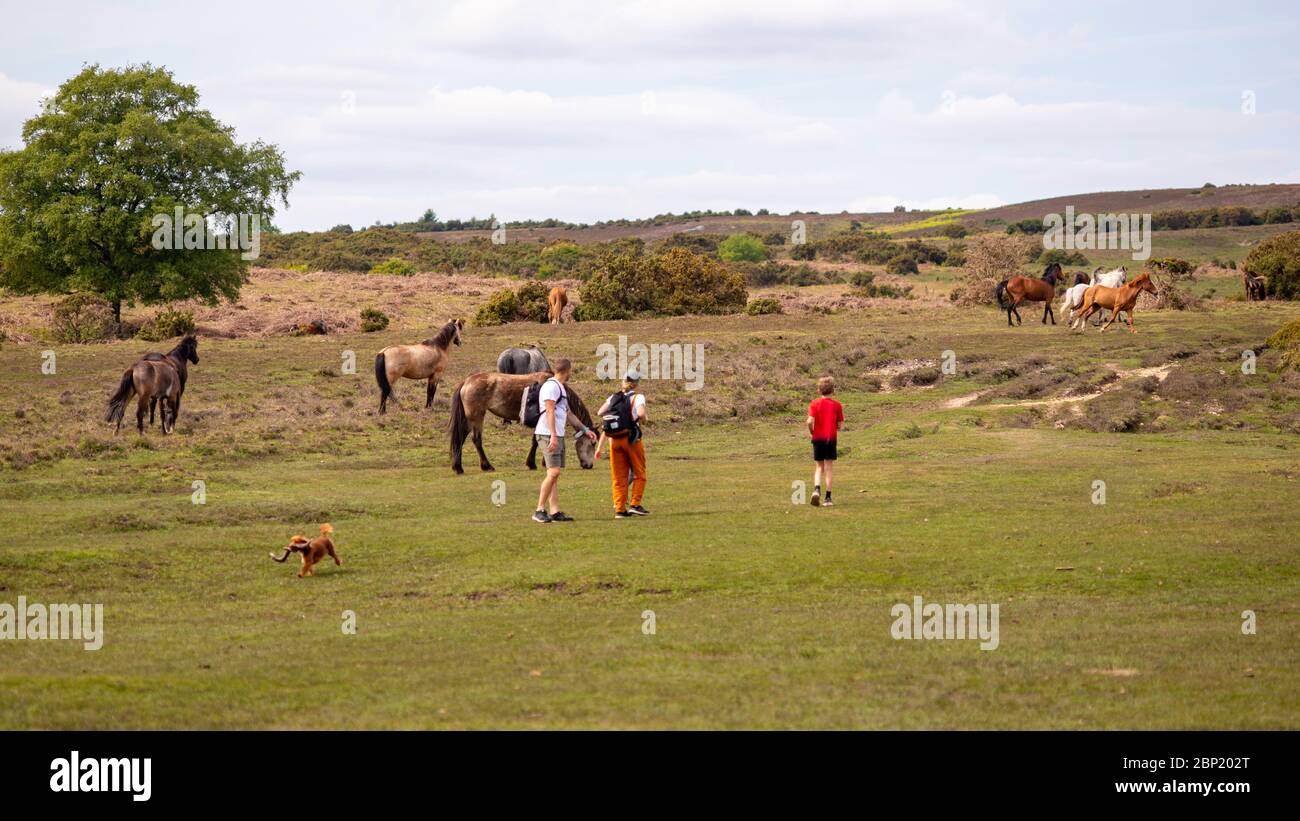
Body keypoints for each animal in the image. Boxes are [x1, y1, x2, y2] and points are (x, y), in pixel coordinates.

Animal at [449, 371, 595, 475]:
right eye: (592, 444)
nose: (589, 465)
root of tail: (466, 381)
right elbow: (537, 441)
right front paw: (534, 463)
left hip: (470, 419)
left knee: (461, 438)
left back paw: (458, 467)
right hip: (477, 417)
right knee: (476, 440)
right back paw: (487, 466)